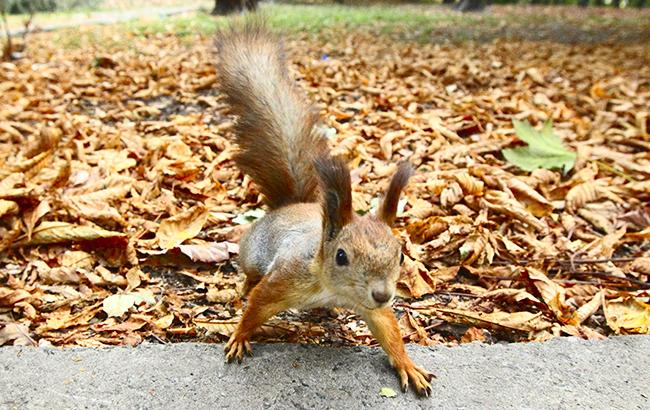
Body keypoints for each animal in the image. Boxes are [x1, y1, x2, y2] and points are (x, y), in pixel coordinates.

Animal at [215, 20, 432, 396]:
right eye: (341, 256)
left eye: (401, 256)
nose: (382, 293)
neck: (330, 286)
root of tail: (290, 205)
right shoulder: (285, 278)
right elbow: (256, 305)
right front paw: (240, 336)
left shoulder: (370, 307)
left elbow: (388, 329)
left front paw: (407, 365)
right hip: (254, 253)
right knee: (251, 274)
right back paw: (243, 285)